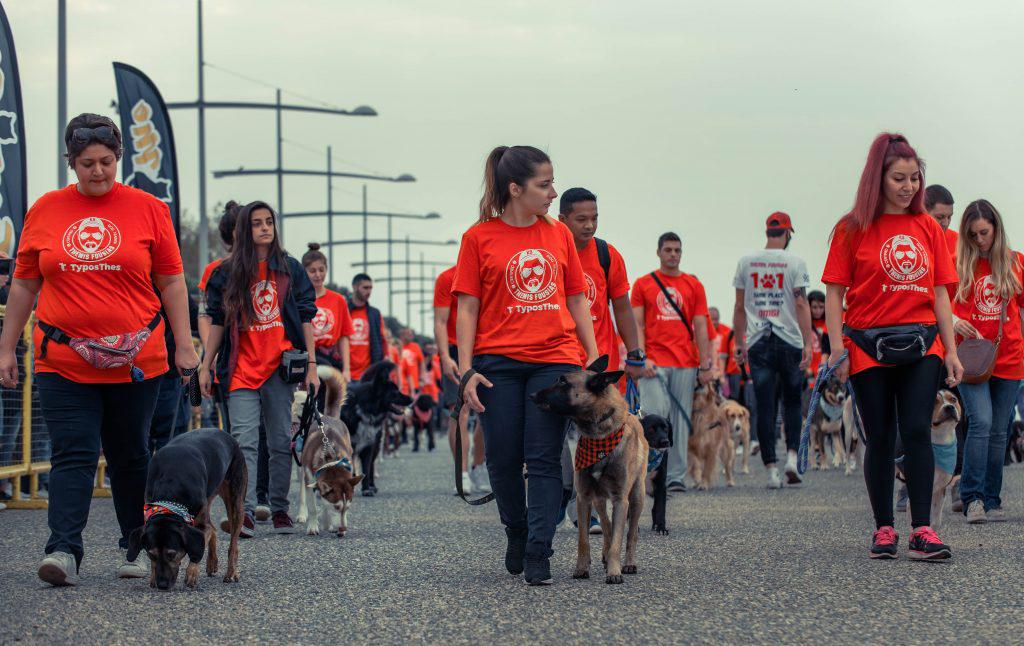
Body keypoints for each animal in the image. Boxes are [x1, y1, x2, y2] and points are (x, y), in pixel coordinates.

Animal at [126, 429, 246, 589]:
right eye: (151, 554)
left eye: (171, 554)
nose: (162, 585)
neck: (171, 487)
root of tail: (224, 433)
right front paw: (152, 577)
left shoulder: (200, 525)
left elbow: (200, 544)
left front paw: (191, 573)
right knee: (214, 528)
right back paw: (212, 562)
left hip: (235, 500)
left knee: (233, 544)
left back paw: (231, 572)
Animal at [339, 362, 411, 497]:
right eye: (395, 392)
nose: (412, 399)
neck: (364, 411)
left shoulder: (368, 447)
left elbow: (367, 470)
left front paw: (366, 489)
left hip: (376, 445)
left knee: (371, 466)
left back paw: (372, 486)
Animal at [532, 358, 643, 585]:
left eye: (563, 382)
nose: (532, 395)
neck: (600, 438)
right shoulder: (584, 497)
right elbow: (584, 539)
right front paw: (582, 568)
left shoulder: (621, 500)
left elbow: (619, 539)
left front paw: (614, 571)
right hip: (598, 500)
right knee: (607, 525)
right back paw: (605, 555)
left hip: (637, 498)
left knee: (630, 534)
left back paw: (628, 563)